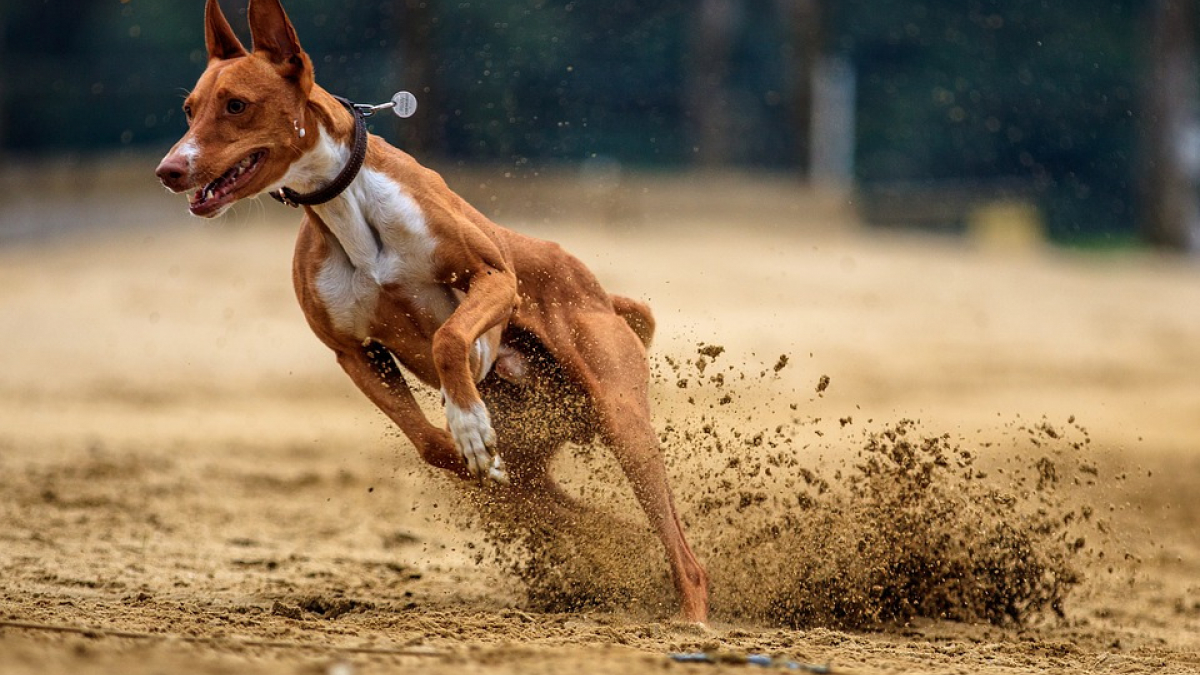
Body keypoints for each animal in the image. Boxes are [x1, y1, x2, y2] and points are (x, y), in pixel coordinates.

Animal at [154, 0, 705, 619]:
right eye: (189, 109)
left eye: (237, 105)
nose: (169, 170)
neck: (347, 205)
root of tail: (601, 295)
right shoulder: (354, 351)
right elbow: (431, 444)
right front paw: (472, 446)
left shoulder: (495, 279)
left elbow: (449, 339)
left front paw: (467, 421)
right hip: (545, 448)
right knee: (580, 512)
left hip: (620, 413)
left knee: (683, 552)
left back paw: (691, 618)